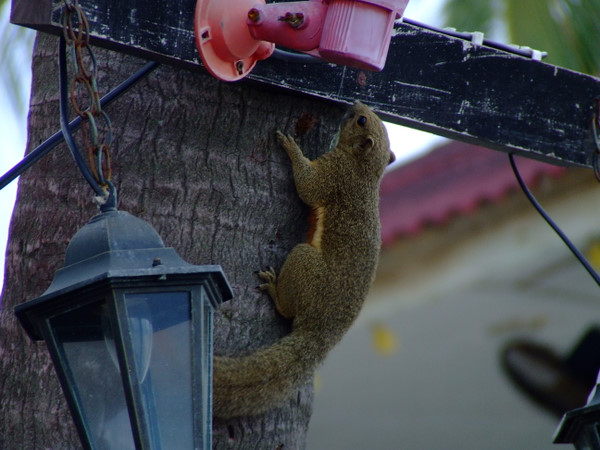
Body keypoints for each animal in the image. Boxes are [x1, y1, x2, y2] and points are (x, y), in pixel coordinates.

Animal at [213, 101, 396, 418]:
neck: (365, 169)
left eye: (361, 121)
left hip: (304, 261)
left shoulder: (334, 175)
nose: (354, 105)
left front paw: (291, 147)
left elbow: (308, 187)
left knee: (287, 309)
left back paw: (274, 288)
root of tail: (321, 333)